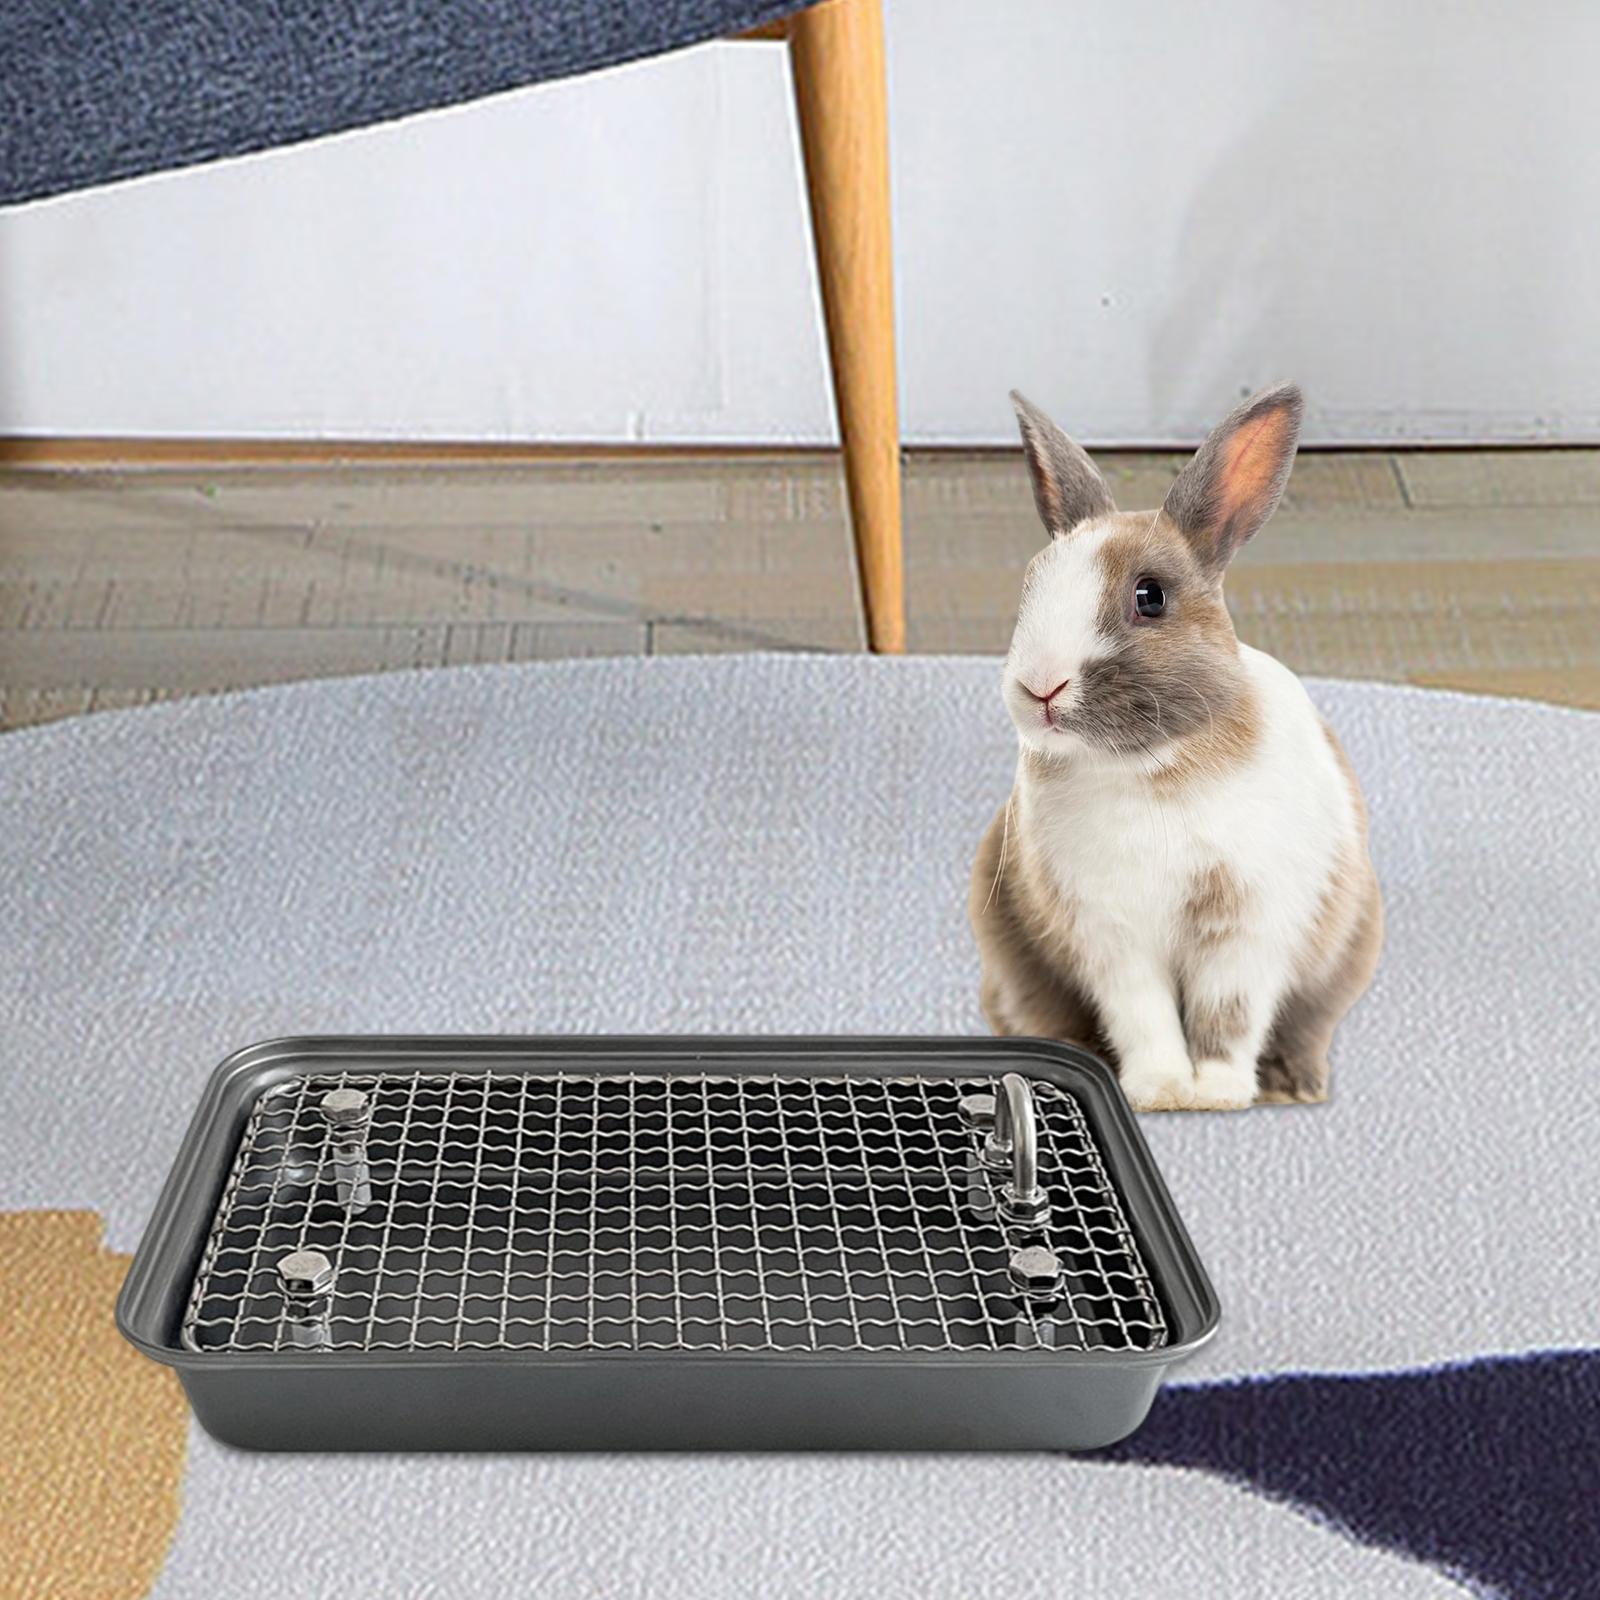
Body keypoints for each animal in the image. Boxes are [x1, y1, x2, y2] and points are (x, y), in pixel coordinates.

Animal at [969, 383, 1382, 1110]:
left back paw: (1294, 1088)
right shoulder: (1111, 937)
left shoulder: (1247, 930)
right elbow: (1144, 1015)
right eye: (1030, 587)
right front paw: (1160, 1091)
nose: (1040, 686)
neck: (1151, 768)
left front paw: (1216, 1093)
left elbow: (1229, 1014)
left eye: (1150, 596)